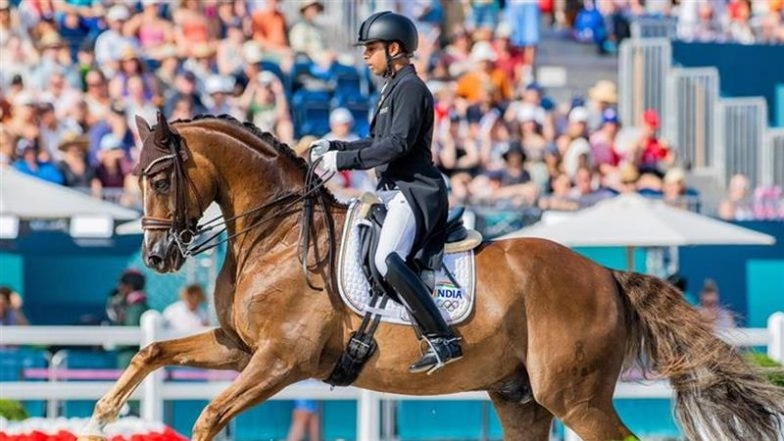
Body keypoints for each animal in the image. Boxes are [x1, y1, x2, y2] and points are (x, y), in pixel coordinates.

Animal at [79, 113, 784, 441]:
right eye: (135, 174)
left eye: (159, 177)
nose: (158, 258)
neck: (276, 234)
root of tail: (608, 273)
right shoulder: (239, 346)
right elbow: (152, 349)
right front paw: (101, 416)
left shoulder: (281, 359)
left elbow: (208, 416)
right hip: (520, 398)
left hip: (574, 397)